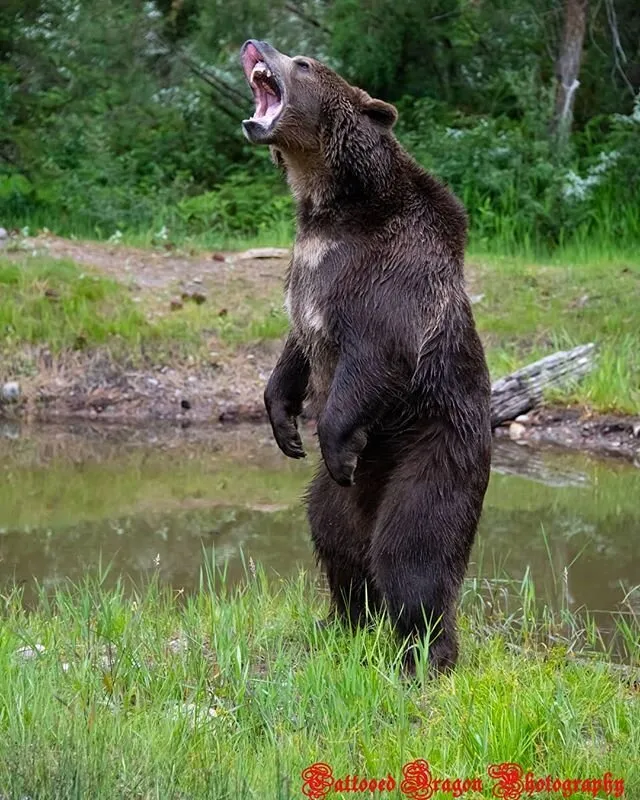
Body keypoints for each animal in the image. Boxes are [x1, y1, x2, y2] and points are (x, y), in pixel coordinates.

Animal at [240, 39, 492, 674]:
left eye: (303, 63)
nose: (257, 43)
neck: (329, 206)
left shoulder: (387, 280)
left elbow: (376, 354)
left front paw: (328, 438)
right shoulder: (307, 274)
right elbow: (297, 346)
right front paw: (284, 423)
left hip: (433, 449)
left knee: (412, 554)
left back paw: (424, 659)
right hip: (340, 497)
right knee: (336, 541)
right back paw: (338, 623)